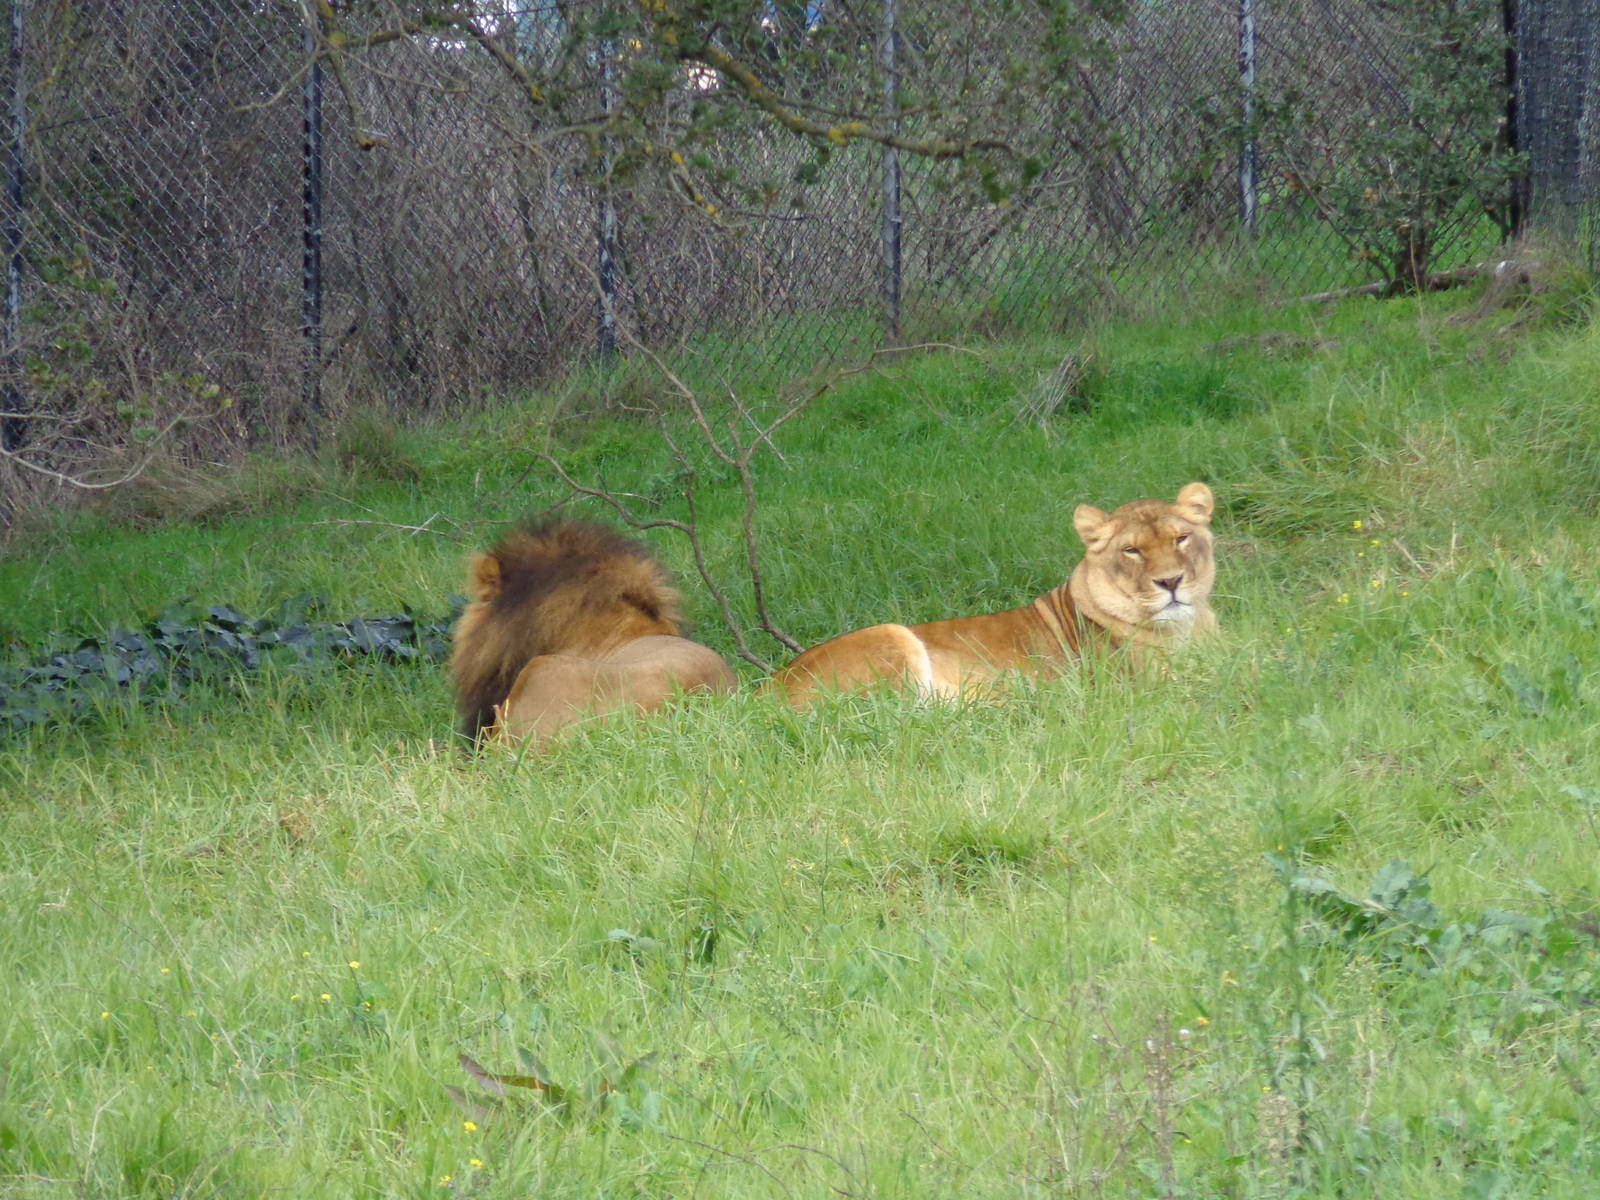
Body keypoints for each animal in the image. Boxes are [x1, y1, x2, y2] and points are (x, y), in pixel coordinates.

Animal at [768, 482, 1217, 708]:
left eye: (1181, 538)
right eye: (1132, 550)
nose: (1171, 582)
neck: (1189, 628)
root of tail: (763, 691)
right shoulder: (1145, 688)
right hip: (890, 636)